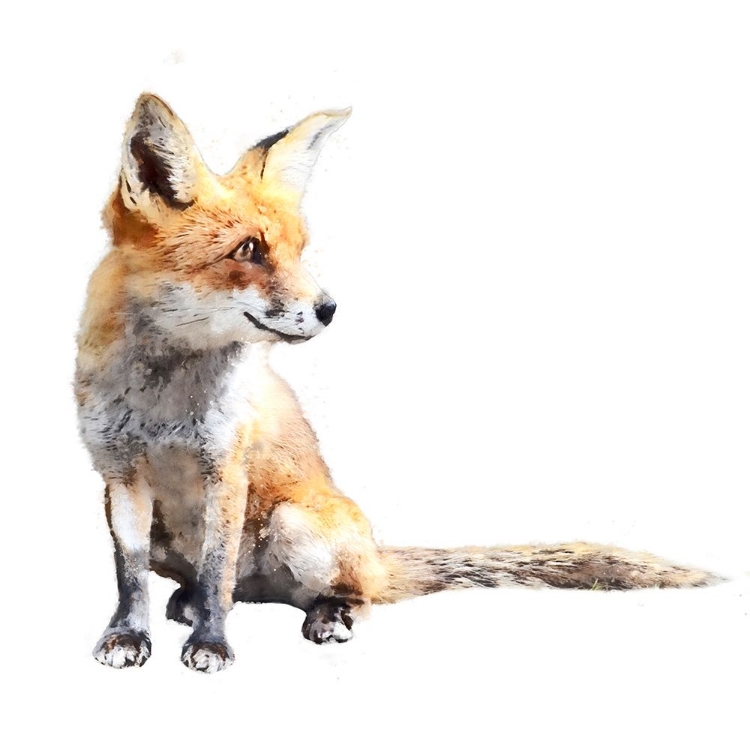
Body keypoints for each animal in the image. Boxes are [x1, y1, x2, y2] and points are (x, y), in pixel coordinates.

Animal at [75, 93, 718, 673]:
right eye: (249, 250)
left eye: (300, 251)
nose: (330, 309)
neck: (163, 403)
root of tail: (375, 555)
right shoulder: (120, 477)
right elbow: (131, 576)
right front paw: (129, 636)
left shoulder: (226, 470)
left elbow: (217, 574)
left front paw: (211, 646)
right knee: (239, 590)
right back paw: (188, 603)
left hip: (296, 524)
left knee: (335, 592)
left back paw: (330, 615)